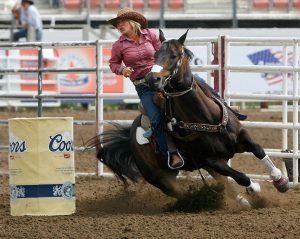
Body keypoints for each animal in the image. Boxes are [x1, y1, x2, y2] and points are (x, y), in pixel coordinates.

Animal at [91, 29, 288, 205]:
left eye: (175, 55)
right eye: (155, 55)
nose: (152, 79)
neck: (208, 118)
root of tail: (130, 137)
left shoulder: (240, 137)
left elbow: (258, 150)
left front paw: (280, 180)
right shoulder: (212, 160)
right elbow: (241, 177)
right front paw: (255, 188)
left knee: (224, 182)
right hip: (160, 178)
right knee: (181, 191)